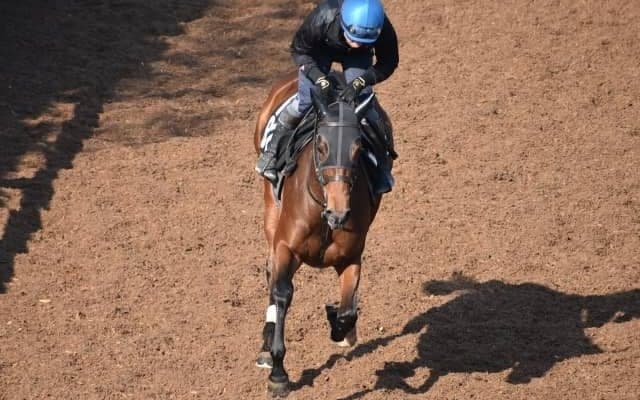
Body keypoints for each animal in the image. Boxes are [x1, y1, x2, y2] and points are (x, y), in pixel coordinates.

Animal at [252, 72, 391, 397]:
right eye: (321, 146)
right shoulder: (285, 247)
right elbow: (282, 292)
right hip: (270, 209)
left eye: (357, 149)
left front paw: (340, 325)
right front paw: (278, 373)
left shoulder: (351, 257)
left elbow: (347, 310)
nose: (338, 213)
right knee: (270, 271)